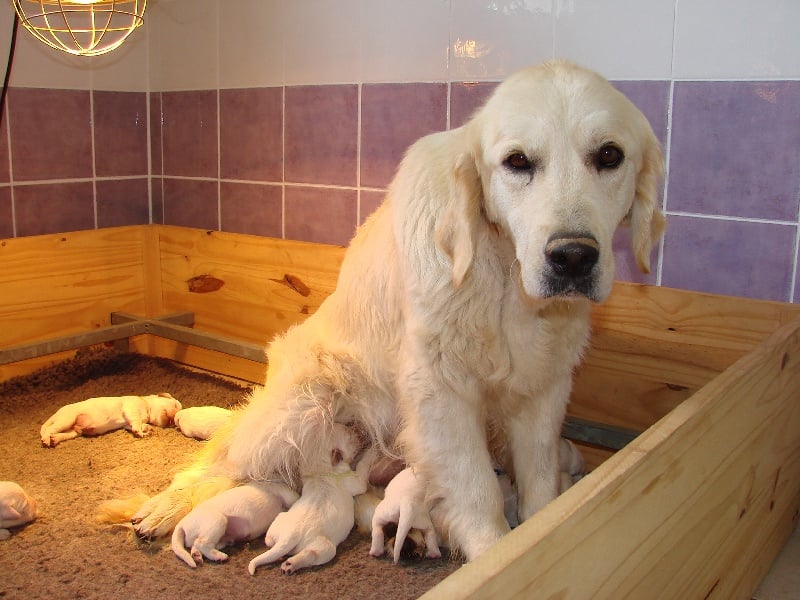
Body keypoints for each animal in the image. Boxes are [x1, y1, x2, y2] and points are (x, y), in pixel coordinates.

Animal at [40, 392, 181, 448]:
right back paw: (46, 440)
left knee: (61, 434)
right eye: (175, 405)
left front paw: (147, 429)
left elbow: (139, 424)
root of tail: (57, 413)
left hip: (73, 431)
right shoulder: (131, 407)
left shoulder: (127, 423)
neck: (146, 405)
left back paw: (54, 439)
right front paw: (140, 431)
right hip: (67, 419)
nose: (174, 419)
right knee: (49, 429)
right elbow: (136, 421)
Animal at [170, 478, 298, 568]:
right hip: (217, 521)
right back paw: (219, 556)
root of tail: (181, 524)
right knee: (202, 543)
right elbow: (293, 498)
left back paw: (197, 556)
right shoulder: (286, 493)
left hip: (218, 537)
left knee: (196, 545)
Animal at [248, 426, 374, 576]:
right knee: (311, 554)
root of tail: (290, 536)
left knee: (269, 541)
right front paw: (372, 451)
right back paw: (290, 564)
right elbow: (362, 468)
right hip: (325, 547)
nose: (359, 433)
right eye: (350, 437)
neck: (320, 469)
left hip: (279, 520)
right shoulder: (353, 480)